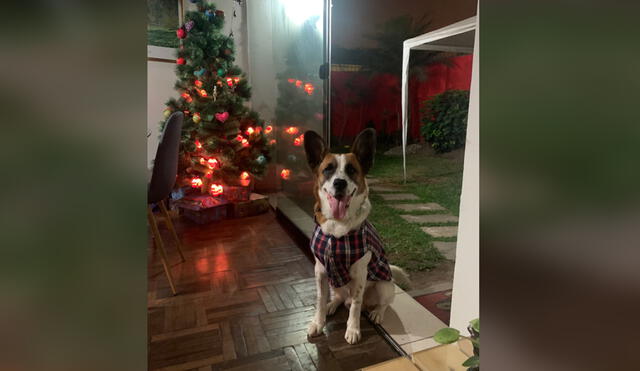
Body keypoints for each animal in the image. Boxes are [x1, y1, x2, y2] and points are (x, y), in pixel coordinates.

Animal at [302, 129, 410, 346]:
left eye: (351, 169)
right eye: (328, 169)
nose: (339, 183)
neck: (337, 227)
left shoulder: (360, 274)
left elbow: (356, 306)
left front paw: (353, 329)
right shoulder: (320, 271)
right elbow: (319, 300)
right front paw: (318, 322)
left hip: (385, 286)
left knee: (376, 303)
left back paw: (376, 313)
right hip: (335, 282)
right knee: (339, 297)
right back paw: (332, 305)